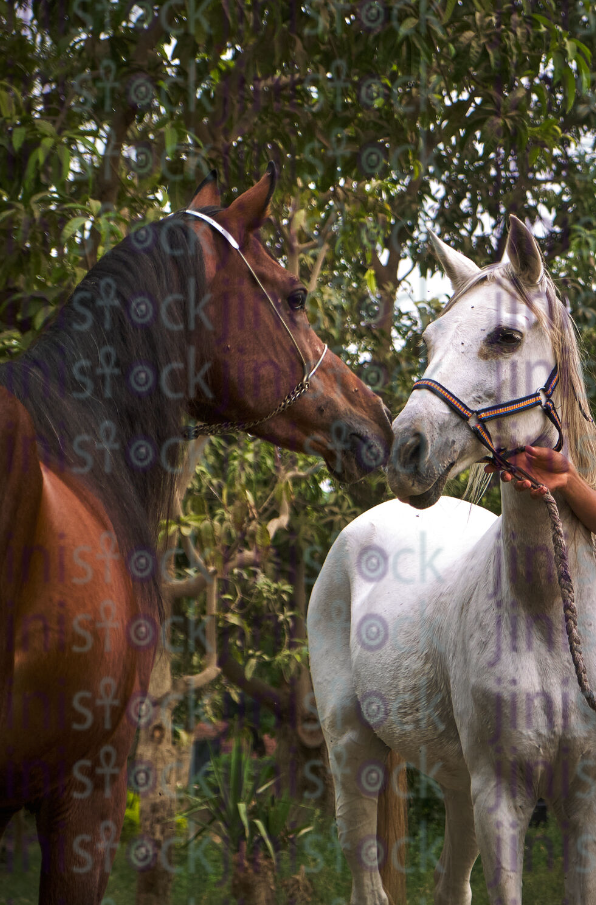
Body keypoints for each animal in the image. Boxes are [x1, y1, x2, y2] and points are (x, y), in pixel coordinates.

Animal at [307, 215, 596, 904]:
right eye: (431, 337)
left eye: (506, 336)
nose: (404, 451)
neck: (548, 613)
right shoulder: (501, 799)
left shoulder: (581, 804)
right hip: (353, 751)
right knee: (366, 877)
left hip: (458, 785)